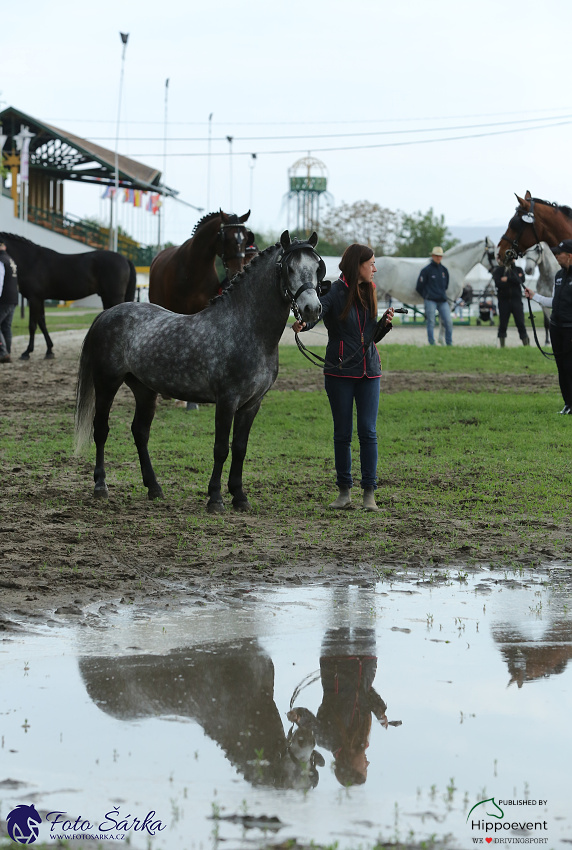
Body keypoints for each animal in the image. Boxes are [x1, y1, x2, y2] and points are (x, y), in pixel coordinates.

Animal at [0, 234, 137, 360]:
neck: (32, 261)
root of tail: (125, 259)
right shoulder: (40, 299)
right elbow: (42, 323)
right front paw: (49, 350)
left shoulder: (34, 298)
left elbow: (32, 325)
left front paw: (27, 352)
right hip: (106, 297)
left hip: (114, 297)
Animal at [75, 229, 324, 512]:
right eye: (289, 268)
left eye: (317, 267)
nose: (312, 309)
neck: (245, 328)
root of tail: (107, 314)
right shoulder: (227, 400)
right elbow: (221, 448)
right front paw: (215, 498)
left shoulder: (252, 403)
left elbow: (240, 448)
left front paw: (239, 497)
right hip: (107, 383)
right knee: (101, 429)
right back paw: (101, 486)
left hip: (145, 390)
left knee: (140, 432)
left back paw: (154, 487)